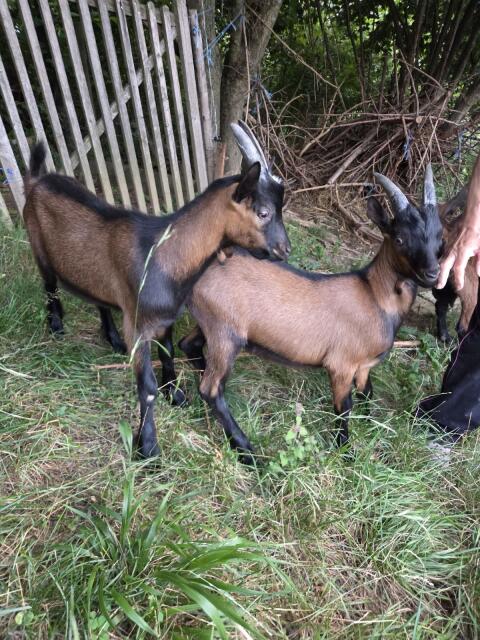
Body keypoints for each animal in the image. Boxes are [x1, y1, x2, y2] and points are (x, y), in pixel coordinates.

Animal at [23, 122, 290, 458]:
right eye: (263, 212)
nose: (285, 249)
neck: (164, 254)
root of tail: (37, 180)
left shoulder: (165, 319)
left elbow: (169, 355)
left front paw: (175, 395)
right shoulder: (137, 326)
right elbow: (146, 388)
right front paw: (148, 446)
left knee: (98, 298)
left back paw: (111, 338)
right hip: (38, 247)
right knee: (50, 286)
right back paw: (56, 325)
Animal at [179, 167, 443, 463]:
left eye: (440, 237)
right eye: (399, 239)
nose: (432, 274)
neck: (374, 296)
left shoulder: (364, 366)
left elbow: (367, 394)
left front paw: (372, 428)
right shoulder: (341, 364)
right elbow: (344, 406)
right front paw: (345, 452)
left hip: (211, 323)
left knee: (188, 345)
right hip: (226, 332)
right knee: (211, 388)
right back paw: (247, 451)